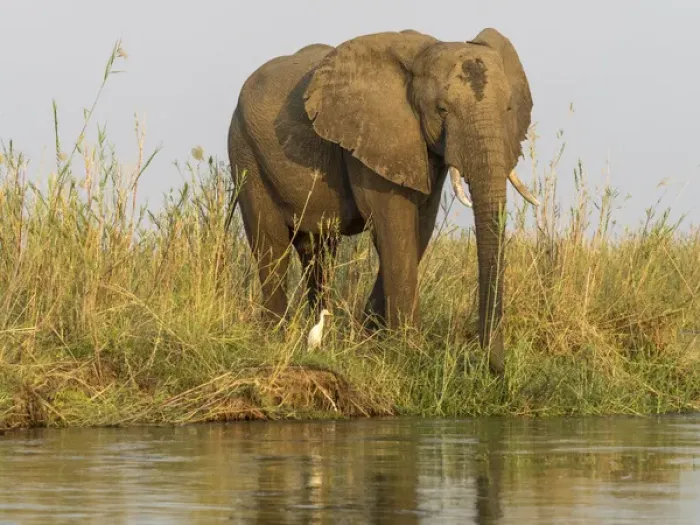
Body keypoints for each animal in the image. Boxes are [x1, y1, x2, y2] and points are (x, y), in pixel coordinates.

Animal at [227, 28, 539, 374]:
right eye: (442, 110)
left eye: (509, 110)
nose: (493, 367)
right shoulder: (375, 135)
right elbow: (394, 225)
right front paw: (409, 352)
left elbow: (419, 228)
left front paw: (371, 338)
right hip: (245, 152)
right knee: (271, 246)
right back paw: (276, 334)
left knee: (318, 253)